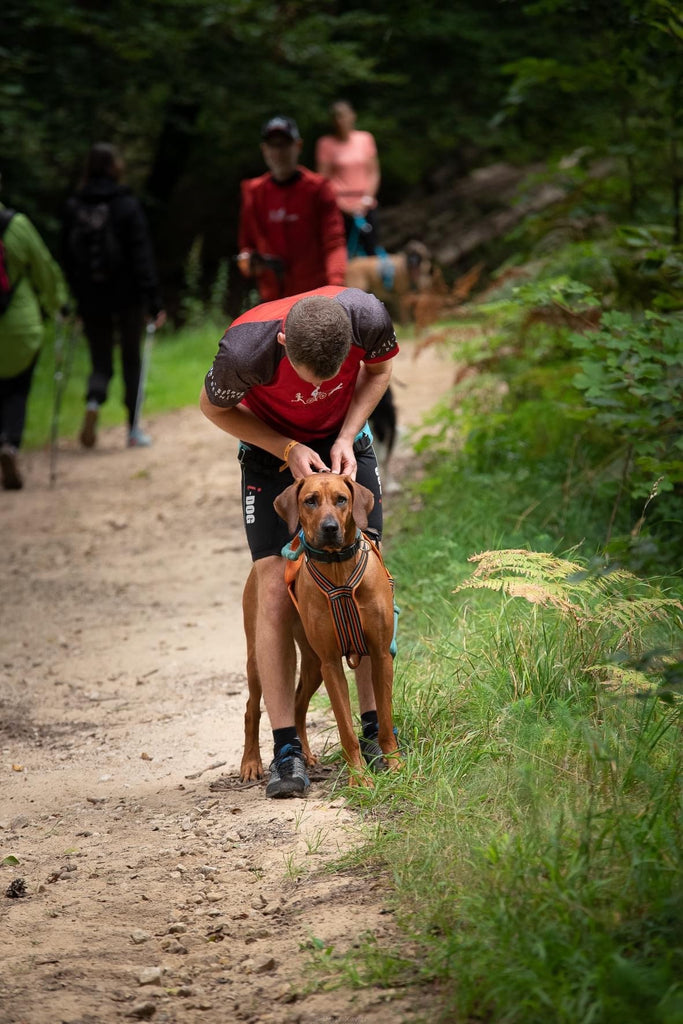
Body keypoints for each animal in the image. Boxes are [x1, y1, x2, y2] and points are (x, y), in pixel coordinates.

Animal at [241, 471, 397, 782]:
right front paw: (359, 778)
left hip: (313, 663)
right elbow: (345, 729)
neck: (338, 566)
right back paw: (251, 762)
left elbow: (385, 719)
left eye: (342, 499)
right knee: (252, 708)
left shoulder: (380, 654)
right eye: (310, 501)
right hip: (260, 656)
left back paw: (306, 754)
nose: (329, 528)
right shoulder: (331, 663)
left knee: (298, 704)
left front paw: (397, 764)